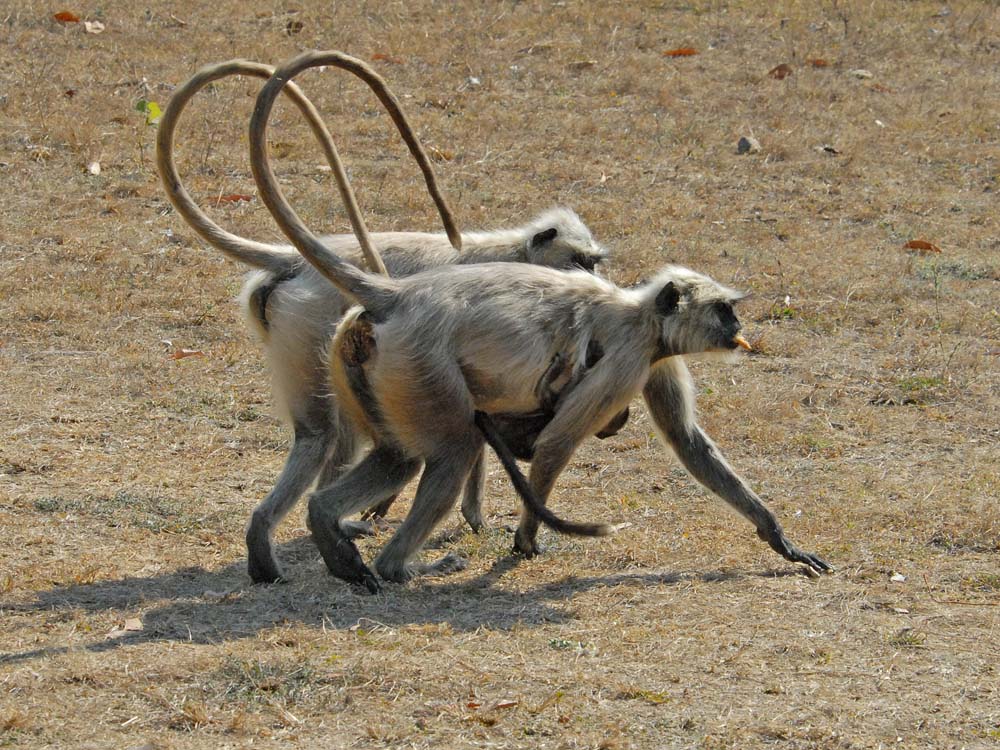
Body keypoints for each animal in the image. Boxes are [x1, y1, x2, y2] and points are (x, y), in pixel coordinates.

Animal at [154, 58, 616, 588]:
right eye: (580, 261)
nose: (598, 280)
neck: (514, 252)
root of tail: (293, 262)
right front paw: (475, 517)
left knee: (316, 435)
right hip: (316, 326)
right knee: (335, 435)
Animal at [248, 50, 828, 596]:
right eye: (725, 308)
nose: (737, 327)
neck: (640, 309)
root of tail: (400, 296)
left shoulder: (658, 354)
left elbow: (688, 442)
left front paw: (778, 537)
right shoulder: (629, 355)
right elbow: (553, 445)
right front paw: (525, 540)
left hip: (366, 365)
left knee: (396, 455)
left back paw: (318, 534)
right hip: (417, 365)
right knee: (452, 448)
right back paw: (396, 565)